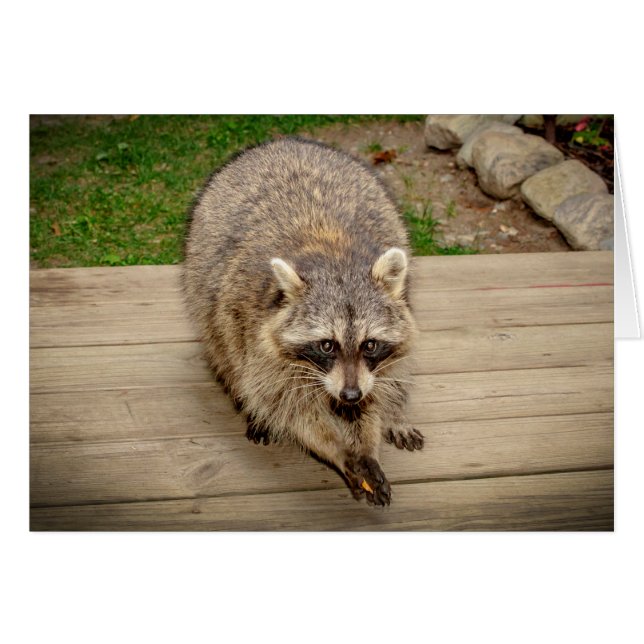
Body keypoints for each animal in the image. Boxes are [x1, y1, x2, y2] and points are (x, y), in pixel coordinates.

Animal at [183, 137, 423, 506]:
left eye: (370, 344)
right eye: (326, 345)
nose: (350, 395)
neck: (334, 255)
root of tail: (285, 142)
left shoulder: (375, 364)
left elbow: (376, 393)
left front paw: (369, 440)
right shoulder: (255, 333)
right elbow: (288, 407)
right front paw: (338, 450)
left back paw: (395, 413)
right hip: (206, 289)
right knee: (224, 352)